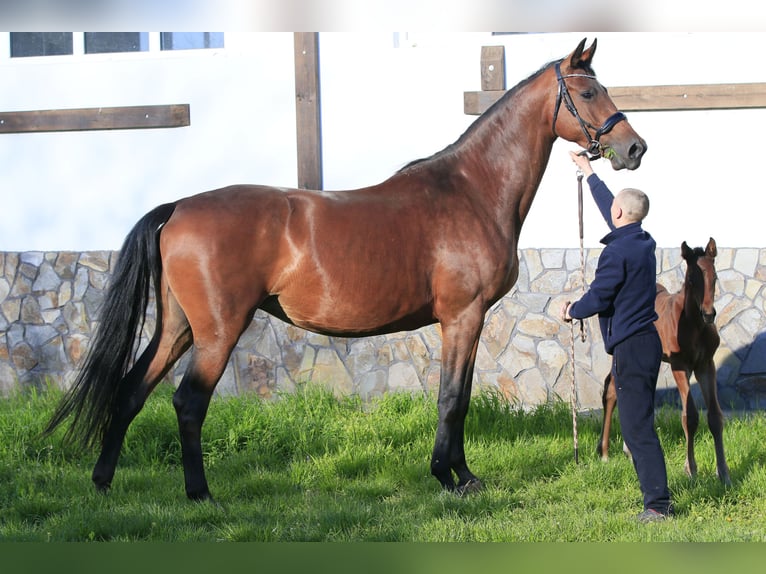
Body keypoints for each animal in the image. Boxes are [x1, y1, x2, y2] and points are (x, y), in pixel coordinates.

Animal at [45, 38, 648, 502]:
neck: (472, 191)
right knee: (188, 403)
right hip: (217, 331)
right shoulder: (463, 317)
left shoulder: (467, 323)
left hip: (178, 327)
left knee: (131, 391)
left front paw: (463, 474)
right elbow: (452, 398)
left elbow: (460, 396)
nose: (634, 148)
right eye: (589, 92)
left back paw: (103, 482)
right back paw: (200, 495)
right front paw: (448, 477)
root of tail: (178, 207)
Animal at [600, 238, 732, 486]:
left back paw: (628, 449)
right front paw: (691, 470)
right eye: (691, 279)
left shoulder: (705, 366)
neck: (694, 325)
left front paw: (724, 473)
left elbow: (715, 417)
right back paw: (604, 453)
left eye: (715, 277)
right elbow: (689, 416)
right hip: (618, 356)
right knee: (612, 391)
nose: (709, 314)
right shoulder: (680, 366)